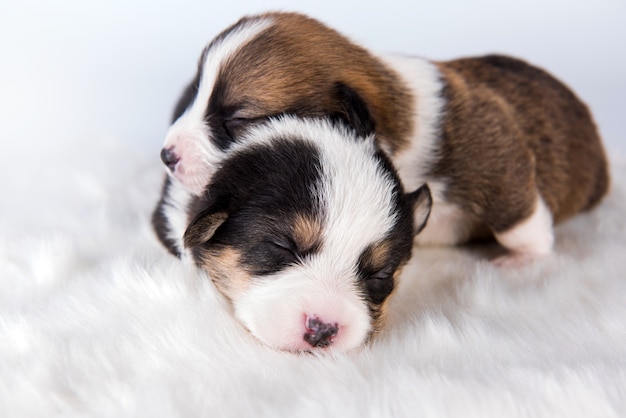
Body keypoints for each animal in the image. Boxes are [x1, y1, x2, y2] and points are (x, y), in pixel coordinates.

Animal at [152, 13, 608, 264]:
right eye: (193, 94)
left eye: (238, 118)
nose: (166, 155)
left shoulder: (493, 149)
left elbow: (518, 216)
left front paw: (526, 258)